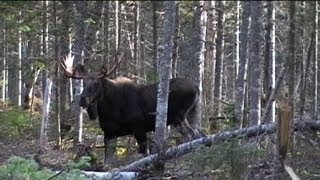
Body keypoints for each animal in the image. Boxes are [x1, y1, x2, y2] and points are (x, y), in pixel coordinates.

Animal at [59, 52, 205, 163]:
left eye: (96, 83)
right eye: (83, 83)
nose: (82, 99)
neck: (108, 110)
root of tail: (197, 88)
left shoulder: (139, 128)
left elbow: (145, 154)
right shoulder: (109, 133)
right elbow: (108, 160)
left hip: (179, 116)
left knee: (191, 135)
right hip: (187, 115)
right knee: (198, 134)